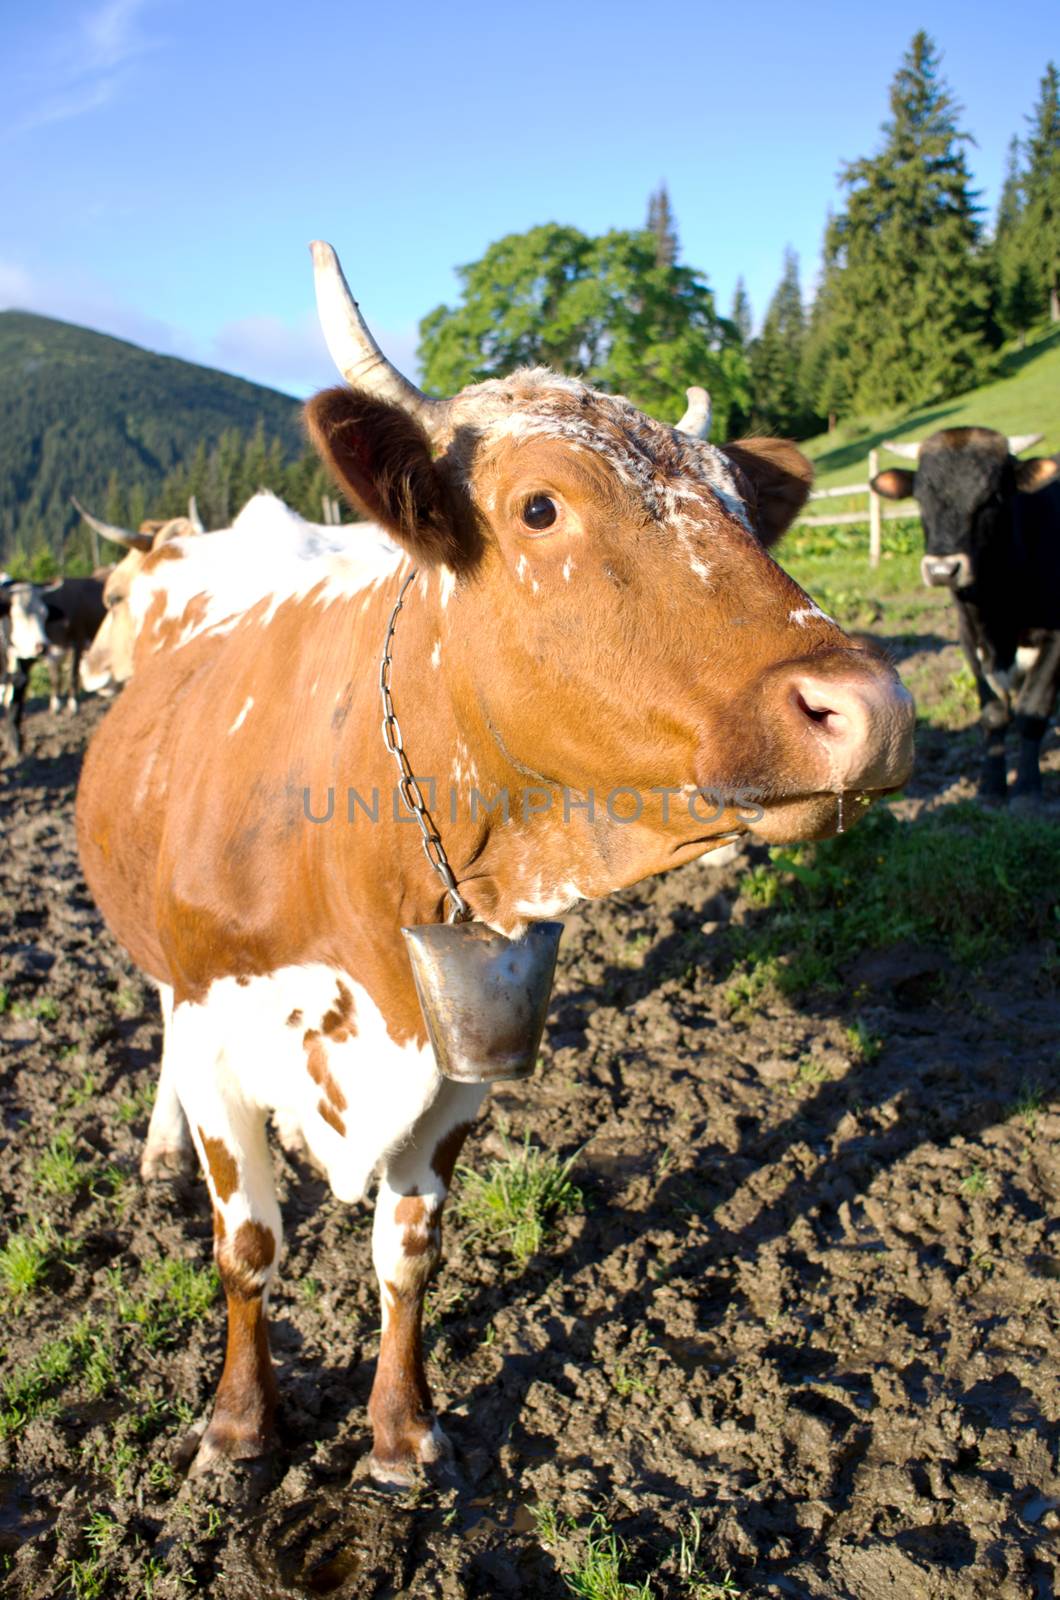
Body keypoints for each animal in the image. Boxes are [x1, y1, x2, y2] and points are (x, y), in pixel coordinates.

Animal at [74, 243, 915, 1478]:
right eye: (539, 505)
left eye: (742, 511)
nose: (872, 709)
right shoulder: (223, 1029)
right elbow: (249, 1246)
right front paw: (237, 1425)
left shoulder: (464, 1051)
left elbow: (408, 1252)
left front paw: (399, 1431)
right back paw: (158, 1145)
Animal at [877, 428, 1060, 806]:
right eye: (920, 498)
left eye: (993, 497)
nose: (942, 569)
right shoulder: (969, 639)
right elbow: (993, 715)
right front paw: (990, 787)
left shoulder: (1056, 639)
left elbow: (1032, 712)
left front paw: (1027, 790)